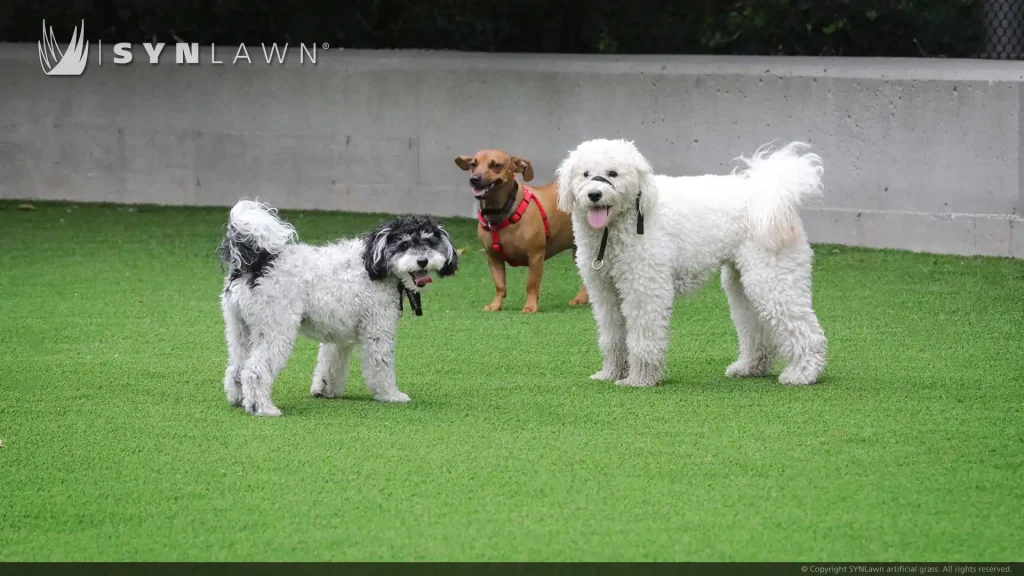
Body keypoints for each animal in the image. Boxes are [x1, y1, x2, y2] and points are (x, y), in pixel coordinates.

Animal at [218, 199, 458, 414]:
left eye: (429, 242)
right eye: (405, 244)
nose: (423, 261)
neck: (372, 262)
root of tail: (256, 264)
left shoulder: (339, 335)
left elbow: (330, 364)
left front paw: (325, 390)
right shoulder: (377, 329)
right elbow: (381, 366)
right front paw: (390, 395)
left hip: (240, 329)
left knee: (236, 369)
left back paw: (239, 400)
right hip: (276, 328)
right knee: (254, 370)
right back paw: (262, 408)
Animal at [454, 147, 589, 309]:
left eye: (495, 165)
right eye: (473, 164)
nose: (474, 179)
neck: (501, 212)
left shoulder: (535, 256)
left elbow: (531, 284)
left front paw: (530, 306)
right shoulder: (493, 258)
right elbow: (499, 285)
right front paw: (495, 305)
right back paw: (581, 298)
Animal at [557, 140, 827, 385]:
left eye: (613, 173)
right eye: (586, 174)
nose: (594, 194)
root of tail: (771, 192)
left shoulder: (645, 289)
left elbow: (644, 336)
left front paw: (639, 379)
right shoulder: (604, 291)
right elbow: (612, 336)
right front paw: (611, 373)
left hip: (773, 276)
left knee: (806, 329)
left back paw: (803, 373)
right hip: (743, 282)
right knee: (755, 326)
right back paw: (750, 367)